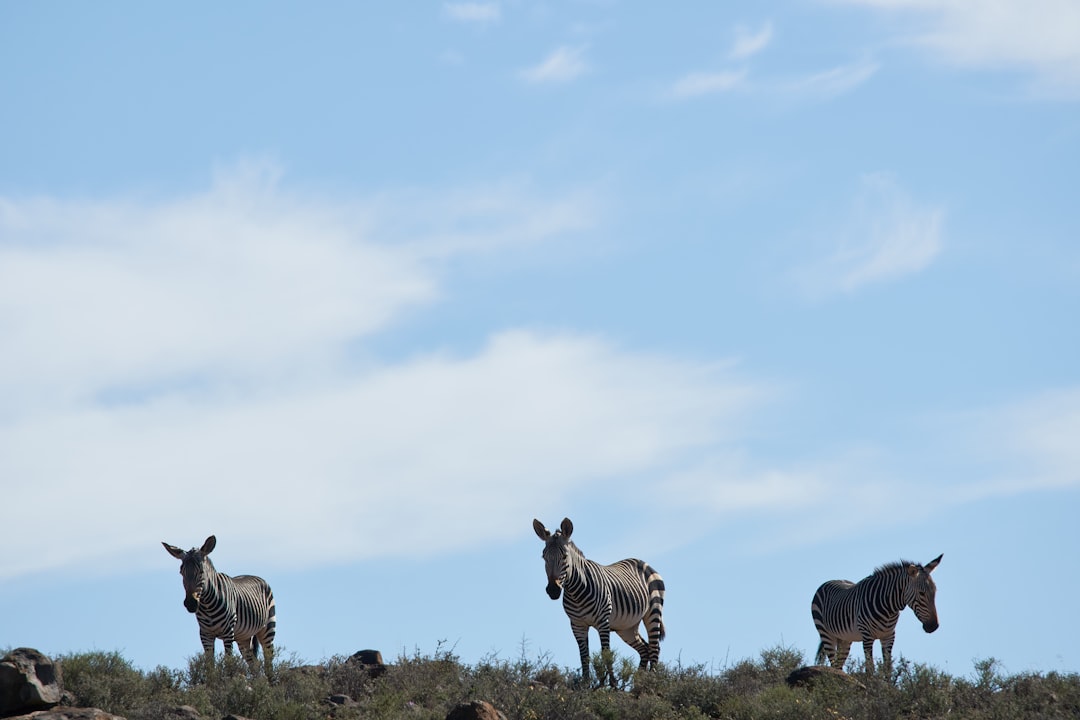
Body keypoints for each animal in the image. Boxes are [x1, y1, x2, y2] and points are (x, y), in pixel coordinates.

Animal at [162, 535, 278, 677]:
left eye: (201, 572)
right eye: (181, 572)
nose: (190, 603)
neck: (207, 605)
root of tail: (256, 576)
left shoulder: (228, 633)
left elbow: (228, 662)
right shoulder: (205, 634)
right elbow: (210, 666)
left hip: (268, 629)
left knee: (269, 662)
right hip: (244, 637)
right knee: (254, 665)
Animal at [533, 518, 665, 686]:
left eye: (564, 556)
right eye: (544, 557)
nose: (553, 590)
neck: (576, 593)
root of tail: (642, 562)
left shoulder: (603, 622)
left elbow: (606, 654)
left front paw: (612, 685)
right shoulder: (577, 625)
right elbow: (584, 656)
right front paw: (586, 684)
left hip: (653, 612)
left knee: (654, 648)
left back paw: (651, 683)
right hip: (627, 626)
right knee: (645, 649)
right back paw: (638, 683)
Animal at [812, 557, 941, 673]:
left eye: (935, 592)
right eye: (921, 593)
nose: (934, 626)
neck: (889, 609)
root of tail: (830, 581)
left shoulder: (889, 636)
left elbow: (887, 668)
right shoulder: (867, 636)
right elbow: (870, 668)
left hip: (844, 639)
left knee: (838, 665)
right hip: (825, 634)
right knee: (833, 663)